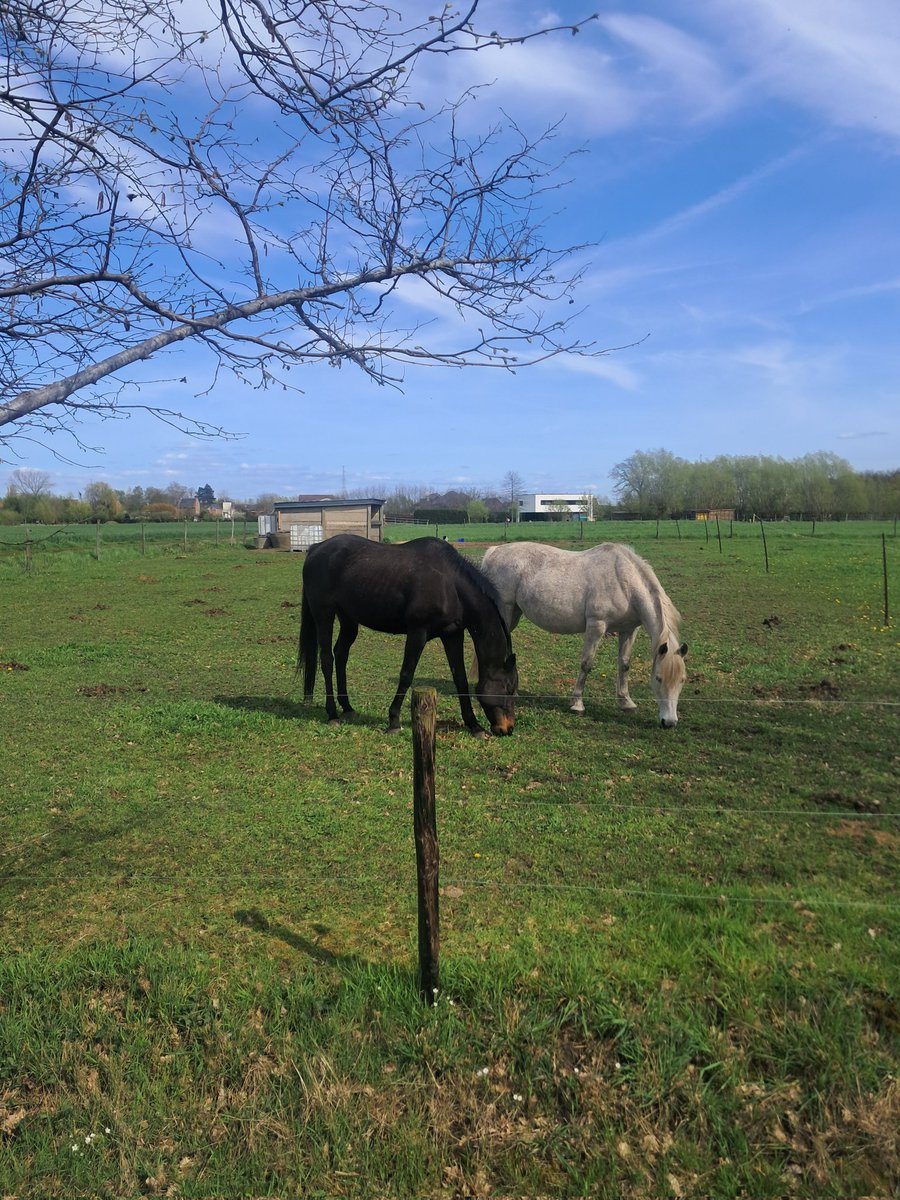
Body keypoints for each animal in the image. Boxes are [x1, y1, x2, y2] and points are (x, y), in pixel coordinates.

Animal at [299, 534, 517, 736]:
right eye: (508, 689)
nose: (508, 728)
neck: (450, 584)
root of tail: (316, 548)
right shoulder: (417, 632)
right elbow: (406, 675)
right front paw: (394, 721)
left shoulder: (452, 635)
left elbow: (460, 679)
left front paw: (475, 725)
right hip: (324, 614)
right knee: (327, 659)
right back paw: (332, 714)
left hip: (348, 619)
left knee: (341, 654)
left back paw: (347, 708)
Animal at [480, 541, 688, 728]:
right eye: (658, 678)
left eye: (682, 680)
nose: (669, 722)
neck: (623, 581)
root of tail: (493, 552)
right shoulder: (596, 626)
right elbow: (586, 664)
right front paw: (577, 704)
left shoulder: (629, 630)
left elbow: (624, 665)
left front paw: (626, 703)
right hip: (506, 610)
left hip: (514, 613)